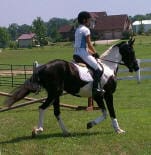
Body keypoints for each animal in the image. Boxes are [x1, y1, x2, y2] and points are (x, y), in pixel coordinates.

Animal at [4, 37, 139, 136]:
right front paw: (118, 130)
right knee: (42, 108)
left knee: (56, 112)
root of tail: (43, 67)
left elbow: (105, 112)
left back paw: (66, 131)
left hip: (56, 95)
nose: (136, 67)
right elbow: (111, 112)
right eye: (132, 52)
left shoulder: (98, 96)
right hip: (54, 93)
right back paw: (38, 130)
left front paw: (90, 124)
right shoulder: (107, 94)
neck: (107, 67)